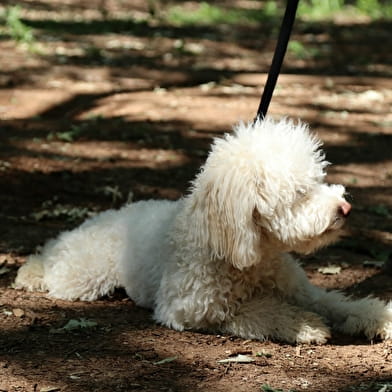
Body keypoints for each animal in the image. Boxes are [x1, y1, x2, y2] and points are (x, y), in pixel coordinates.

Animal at [15, 117, 392, 344]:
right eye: (300, 193)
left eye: (320, 179)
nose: (344, 208)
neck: (248, 257)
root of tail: (106, 217)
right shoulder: (192, 309)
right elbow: (258, 311)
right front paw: (304, 325)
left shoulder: (304, 291)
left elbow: (338, 303)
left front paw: (380, 318)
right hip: (84, 277)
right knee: (55, 265)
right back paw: (32, 271)